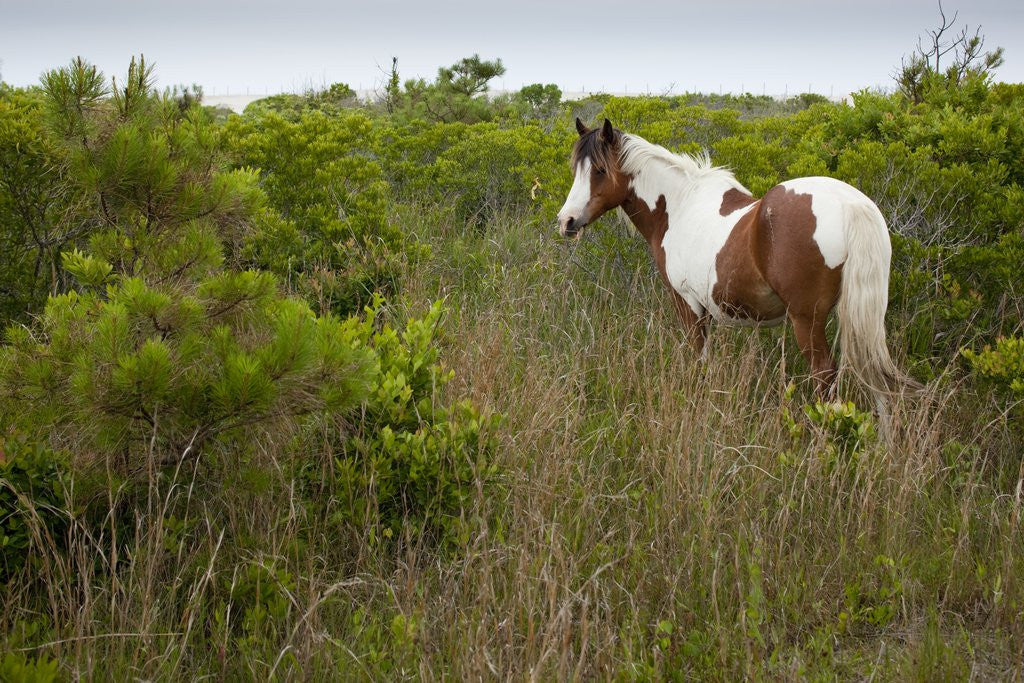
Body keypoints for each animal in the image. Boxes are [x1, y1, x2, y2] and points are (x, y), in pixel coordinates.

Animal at [557, 117, 922, 406]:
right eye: (576, 170)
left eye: (600, 171)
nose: (567, 221)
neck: (679, 207)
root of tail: (851, 204)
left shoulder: (688, 305)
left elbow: (699, 360)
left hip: (807, 320)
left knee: (825, 376)